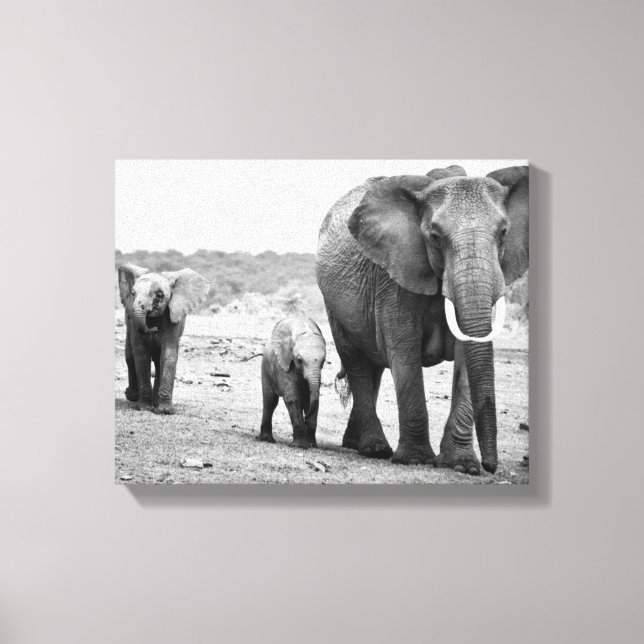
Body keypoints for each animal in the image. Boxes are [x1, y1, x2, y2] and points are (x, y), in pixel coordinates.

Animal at [118, 263, 210, 414]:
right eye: (133, 294)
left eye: (159, 295)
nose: (153, 329)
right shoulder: (133, 321)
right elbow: (141, 354)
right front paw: (144, 407)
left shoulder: (172, 317)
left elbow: (168, 354)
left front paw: (165, 411)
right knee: (130, 356)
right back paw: (132, 396)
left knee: (158, 361)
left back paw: (155, 403)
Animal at [258, 316, 326, 449]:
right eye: (299, 360)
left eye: (324, 361)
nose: (306, 419)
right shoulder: (284, 364)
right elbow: (293, 398)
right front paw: (300, 446)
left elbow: (312, 399)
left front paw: (311, 445)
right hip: (266, 368)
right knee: (270, 402)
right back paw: (266, 439)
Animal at [316, 164, 528, 474]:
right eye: (435, 237)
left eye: (503, 233)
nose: (491, 467)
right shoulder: (394, 278)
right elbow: (404, 353)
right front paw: (415, 459)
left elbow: (467, 357)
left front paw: (462, 465)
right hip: (334, 304)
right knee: (356, 360)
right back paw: (374, 449)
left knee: (372, 366)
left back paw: (356, 444)